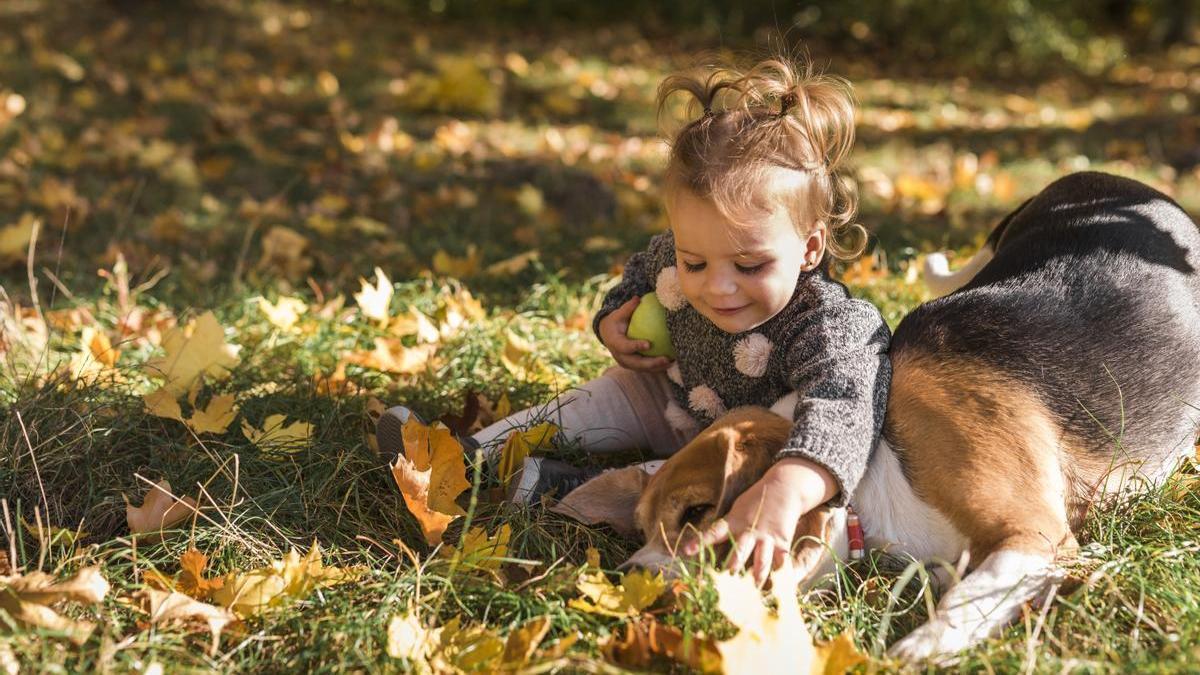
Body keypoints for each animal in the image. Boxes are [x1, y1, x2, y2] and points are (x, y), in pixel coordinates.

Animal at [549, 170, 1200, 658]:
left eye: (697, 513)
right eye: (642, 530)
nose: (634, 582)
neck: (874, 464)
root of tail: (1116, 182)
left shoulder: (1036, 537)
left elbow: (967, 598)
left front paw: (919, 649)